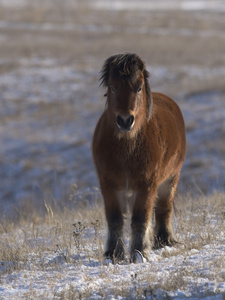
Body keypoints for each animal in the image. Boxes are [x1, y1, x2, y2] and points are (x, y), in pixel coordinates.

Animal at [92, 53, 186, 262]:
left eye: (139, 87)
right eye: (112, 87)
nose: (125, 120)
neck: (128, 149)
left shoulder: (147, 185)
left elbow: (140, 219)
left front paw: (139, 252)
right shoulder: (108, 184)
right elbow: (115, 219)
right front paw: (114, 254)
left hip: (171, 178)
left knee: (163, 209)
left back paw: (163, 241)